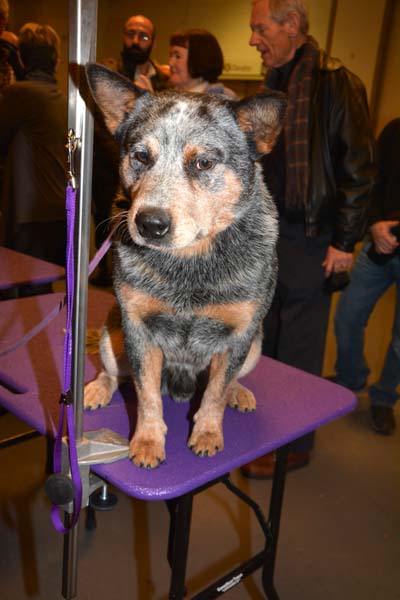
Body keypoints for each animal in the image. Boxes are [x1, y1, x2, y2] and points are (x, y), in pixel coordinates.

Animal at [84, 64, 286, 468]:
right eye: (140, 156)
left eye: (203, 162)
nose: (149, 223)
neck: (190, 265)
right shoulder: (138, 328)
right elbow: (146, 394)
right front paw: (147, 441)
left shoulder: (240, 333)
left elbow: (215, 393)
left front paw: (207, 432)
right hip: (111, 333)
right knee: (116, 374)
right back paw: (98, 388)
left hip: (256, 346)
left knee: (229, 379)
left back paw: (239, 392)